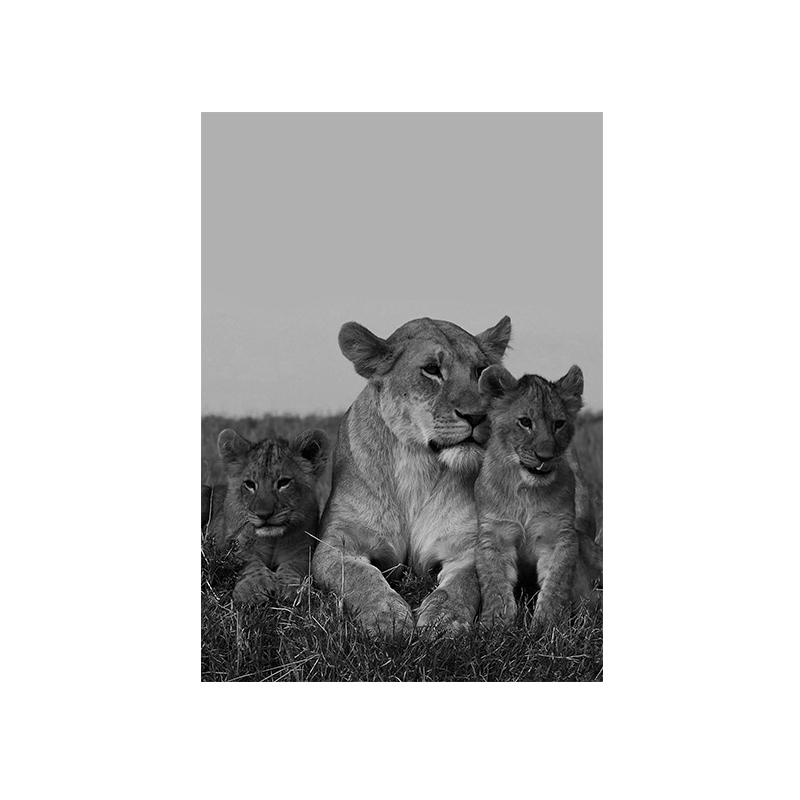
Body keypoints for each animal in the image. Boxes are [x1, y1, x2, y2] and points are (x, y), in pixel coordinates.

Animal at [206, 427, 329, 603]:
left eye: (284, 482)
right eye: (249, 484)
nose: (264, 515)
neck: (273, 539)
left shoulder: (303, 550)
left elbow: (295, 566)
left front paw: (291, 588)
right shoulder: (231, 545)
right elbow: (248, 562)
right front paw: (253, 588)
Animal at [311, 315, 512, 637]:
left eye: (480, 370)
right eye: (432, 369)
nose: (479, 415)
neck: (417, 461)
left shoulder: (467, 546)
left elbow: (462, 586)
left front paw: (444, 619)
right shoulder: (337, 543)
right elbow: (360, 576)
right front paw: (387, 617)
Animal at [475, 364, 602, 630]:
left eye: (559, 424)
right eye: (525, 422)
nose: (545, 456)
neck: (526, 489)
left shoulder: (560, 537)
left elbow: (556, 584)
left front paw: (548, 625)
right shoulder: (494, 535)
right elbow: (494, 583)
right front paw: (496, 623)